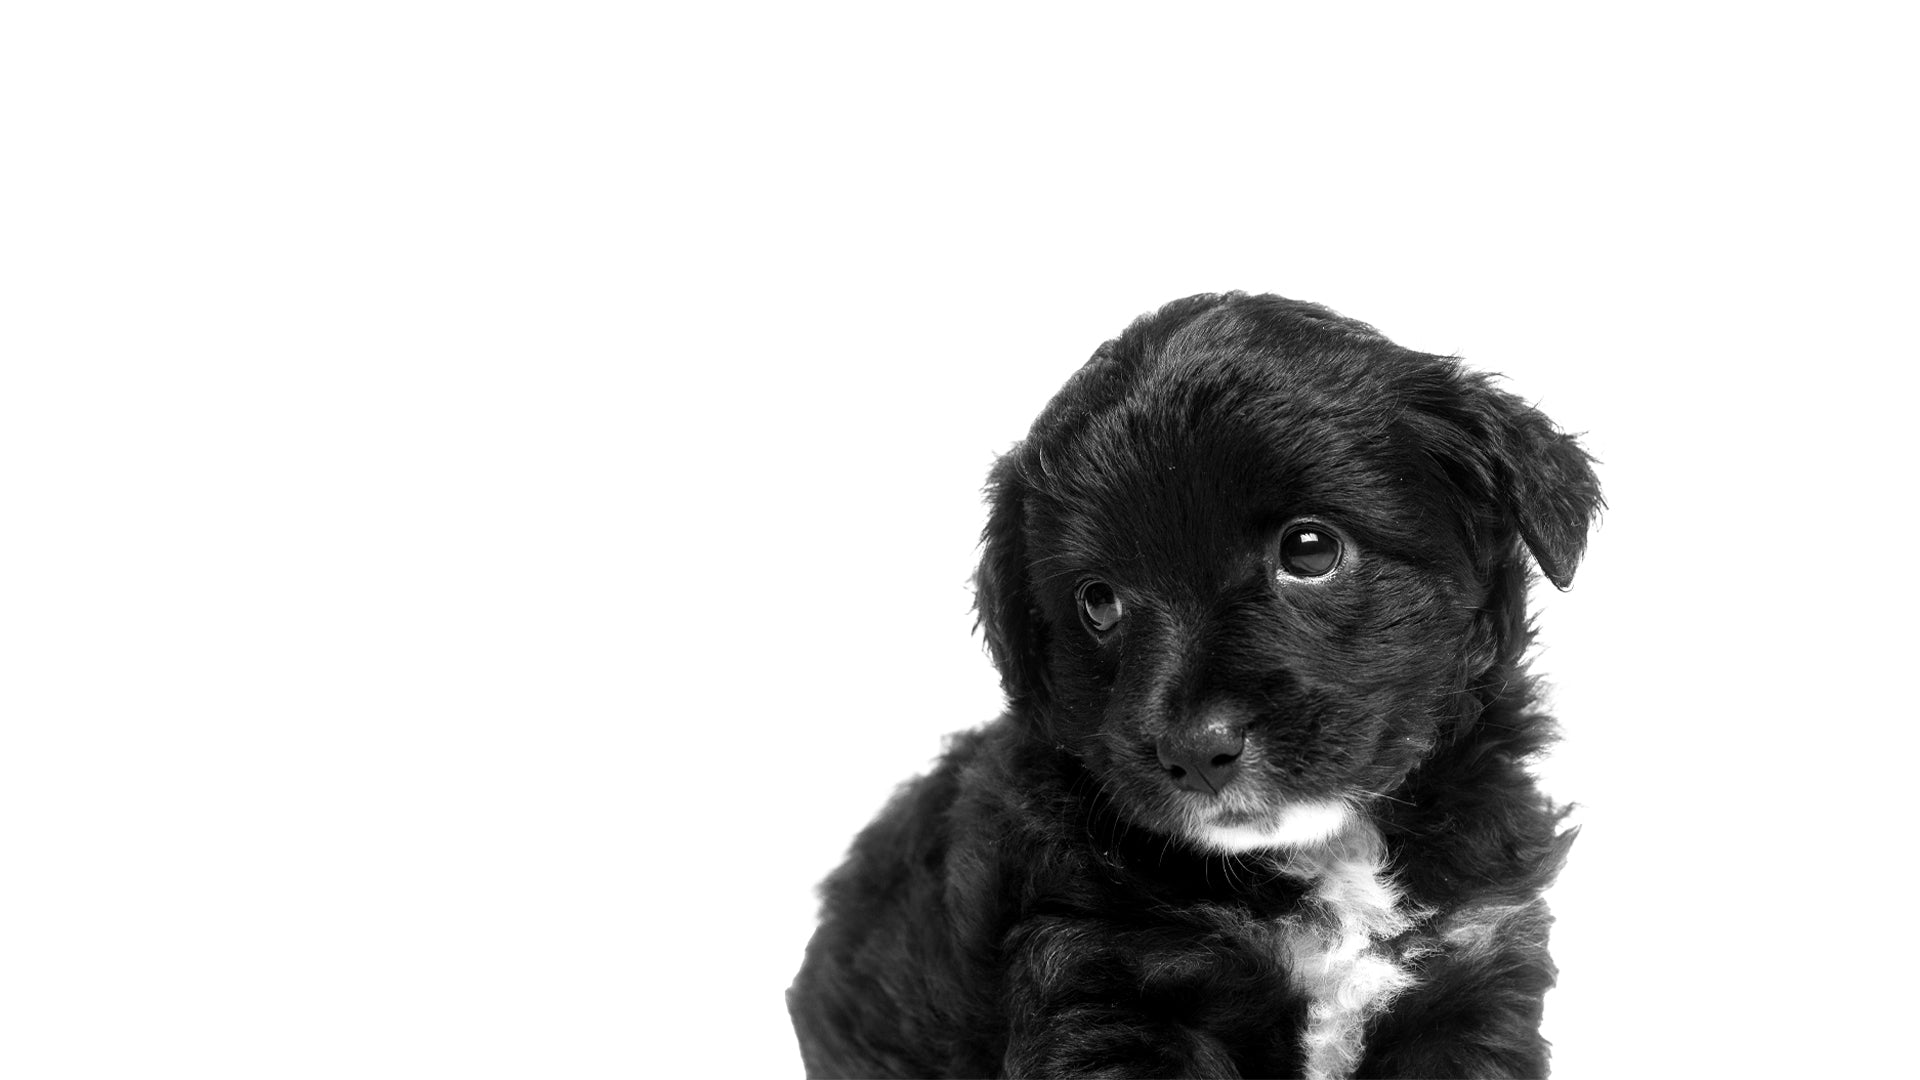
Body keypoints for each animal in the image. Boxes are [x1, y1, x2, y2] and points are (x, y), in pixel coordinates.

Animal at [787, 290, 1597, 1068]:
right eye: (1098, 602)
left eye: (1310, 549)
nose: (1195, 751)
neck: (1325, 854)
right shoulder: (1110, 982)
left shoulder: (1473, 968)